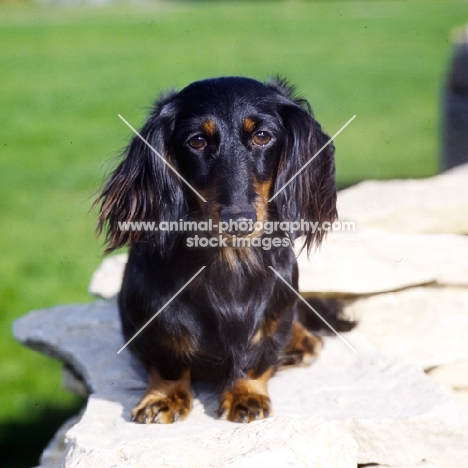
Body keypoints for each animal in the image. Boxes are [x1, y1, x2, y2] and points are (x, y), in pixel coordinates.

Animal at [97, 77, 350, 424]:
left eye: (262, 136)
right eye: (197, 141)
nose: (239, 220)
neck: (230, 261)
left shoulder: (274, 310)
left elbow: (258, 355)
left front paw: (246, 394)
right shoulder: (153, 316)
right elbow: (167, 360)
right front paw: (163, 398)